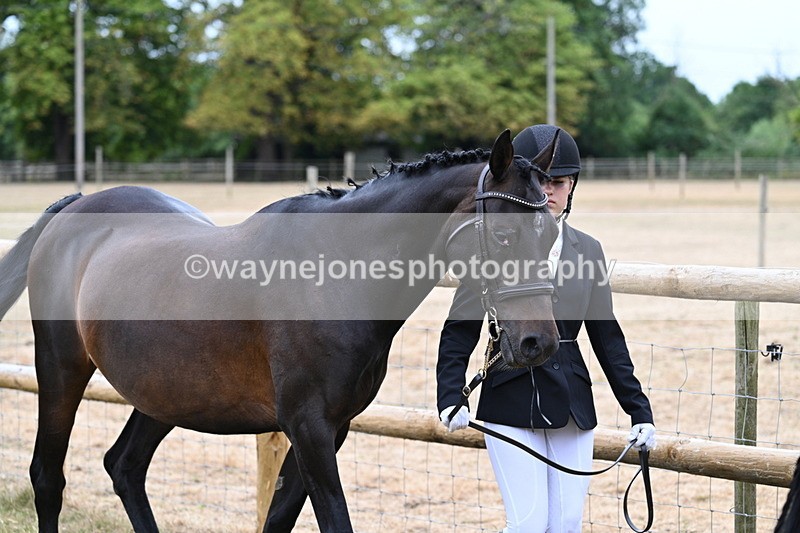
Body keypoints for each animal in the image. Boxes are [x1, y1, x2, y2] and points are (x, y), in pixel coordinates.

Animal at [0, 130, 562, 532]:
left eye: (554, 232)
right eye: (505, 234)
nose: (538, 343)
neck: (333, 273)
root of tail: (73, 207)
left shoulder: (331, 428)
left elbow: (278, 518)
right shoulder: (307, 425)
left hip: (166, 393)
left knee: (125, 467)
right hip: (61, 370)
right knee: (47, 478)